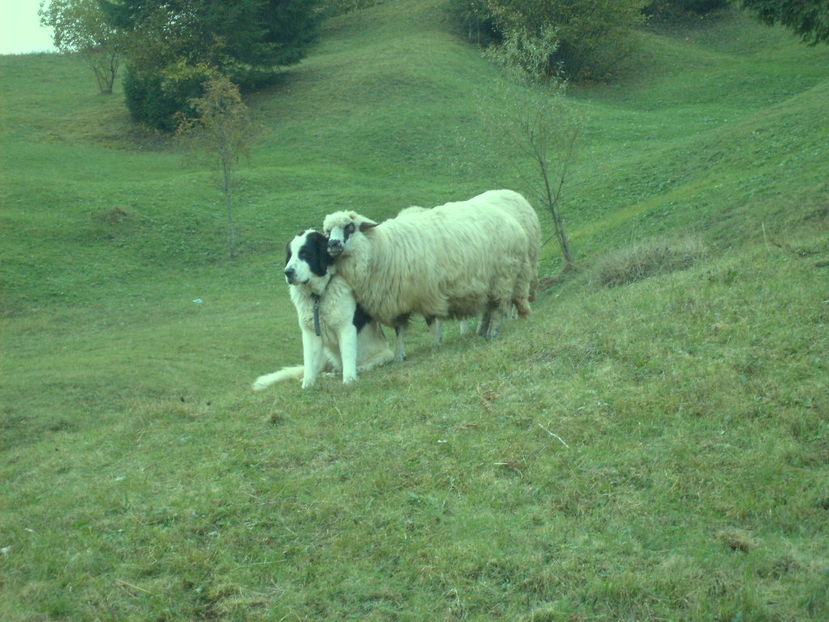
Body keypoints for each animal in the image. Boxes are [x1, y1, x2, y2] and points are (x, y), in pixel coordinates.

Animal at [251, 232, 392, 390]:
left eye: (305, 253)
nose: (287, 272)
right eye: (290, 255)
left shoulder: (346, 328)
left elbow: (348, 356)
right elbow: (309, 363)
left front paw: (349, 381)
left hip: (386, 354)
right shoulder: (310, 333)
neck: (318, 296)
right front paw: (307, 385)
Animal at [320, 189, 540, 360]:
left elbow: (432, 322)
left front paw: (435, 346)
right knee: (490, 307)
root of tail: (511, 222)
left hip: (503, 277)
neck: (384, 249)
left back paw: (493, 331)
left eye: (350, 227)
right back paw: (483, 331)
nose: (333, 245)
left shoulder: (427, 293)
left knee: (498, 307)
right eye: (327, 232)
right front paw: (400, 355)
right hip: (491, 283)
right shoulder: (396, 299)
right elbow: (399, 330)